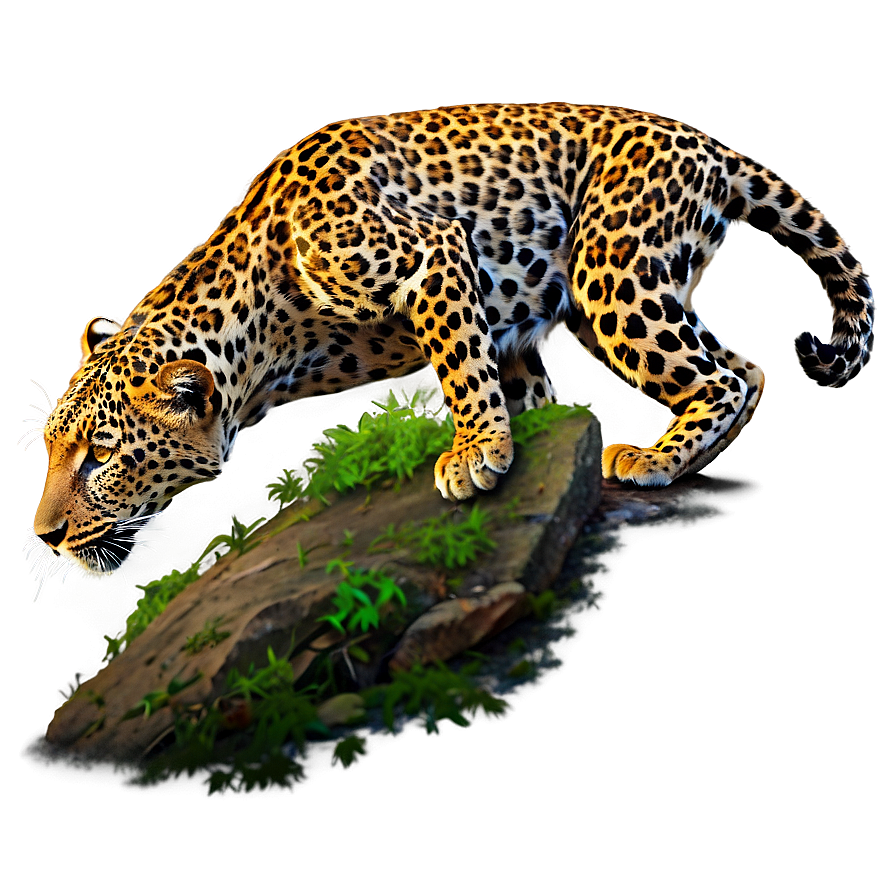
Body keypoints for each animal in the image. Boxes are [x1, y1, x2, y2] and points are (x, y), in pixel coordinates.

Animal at [27, 103, 874, 582]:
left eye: (100, 456)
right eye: (52, 451)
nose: (44, 537)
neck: (270, 336)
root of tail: (700, 139)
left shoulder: (431, 253)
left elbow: (460, 364)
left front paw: (475, 456)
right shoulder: (511, 325)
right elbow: (516, 386)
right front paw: (522, 448)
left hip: (612, 268)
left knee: (731, 372)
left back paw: (655, 457)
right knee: (735, 367)